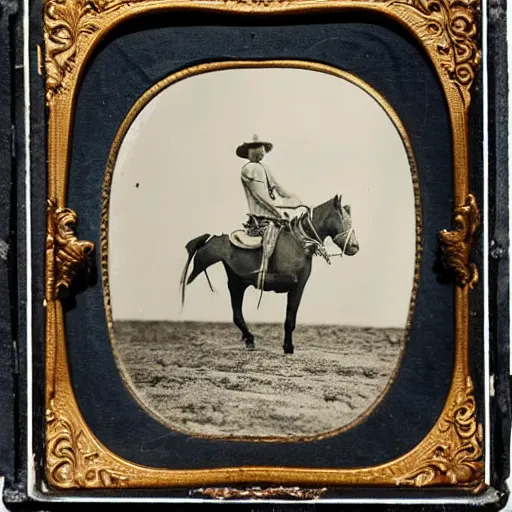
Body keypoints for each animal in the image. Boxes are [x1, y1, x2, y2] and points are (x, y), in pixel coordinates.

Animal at [180, 194, 360, 354]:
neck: (298, 242)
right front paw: (288, 347)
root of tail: (215, 238)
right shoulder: (293, 281)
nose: (354, 246)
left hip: (235, 285)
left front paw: (288, 347)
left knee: (237, 314)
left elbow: (290, 317)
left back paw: (249, 339)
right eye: (344, 219)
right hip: (230, 279)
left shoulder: (299, 286)